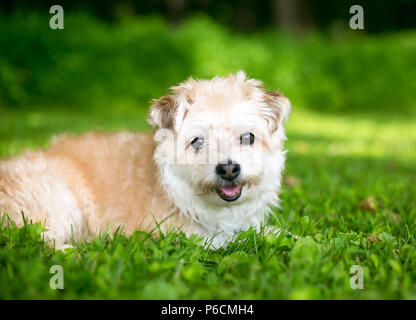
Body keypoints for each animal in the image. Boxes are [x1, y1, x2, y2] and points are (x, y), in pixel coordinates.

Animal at [0, 71, 290, 249]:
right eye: (197, 141)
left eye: (247, 137)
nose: (229, 169)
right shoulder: (176, 235)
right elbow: (226, 241)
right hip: (55, 198)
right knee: (40, 240)